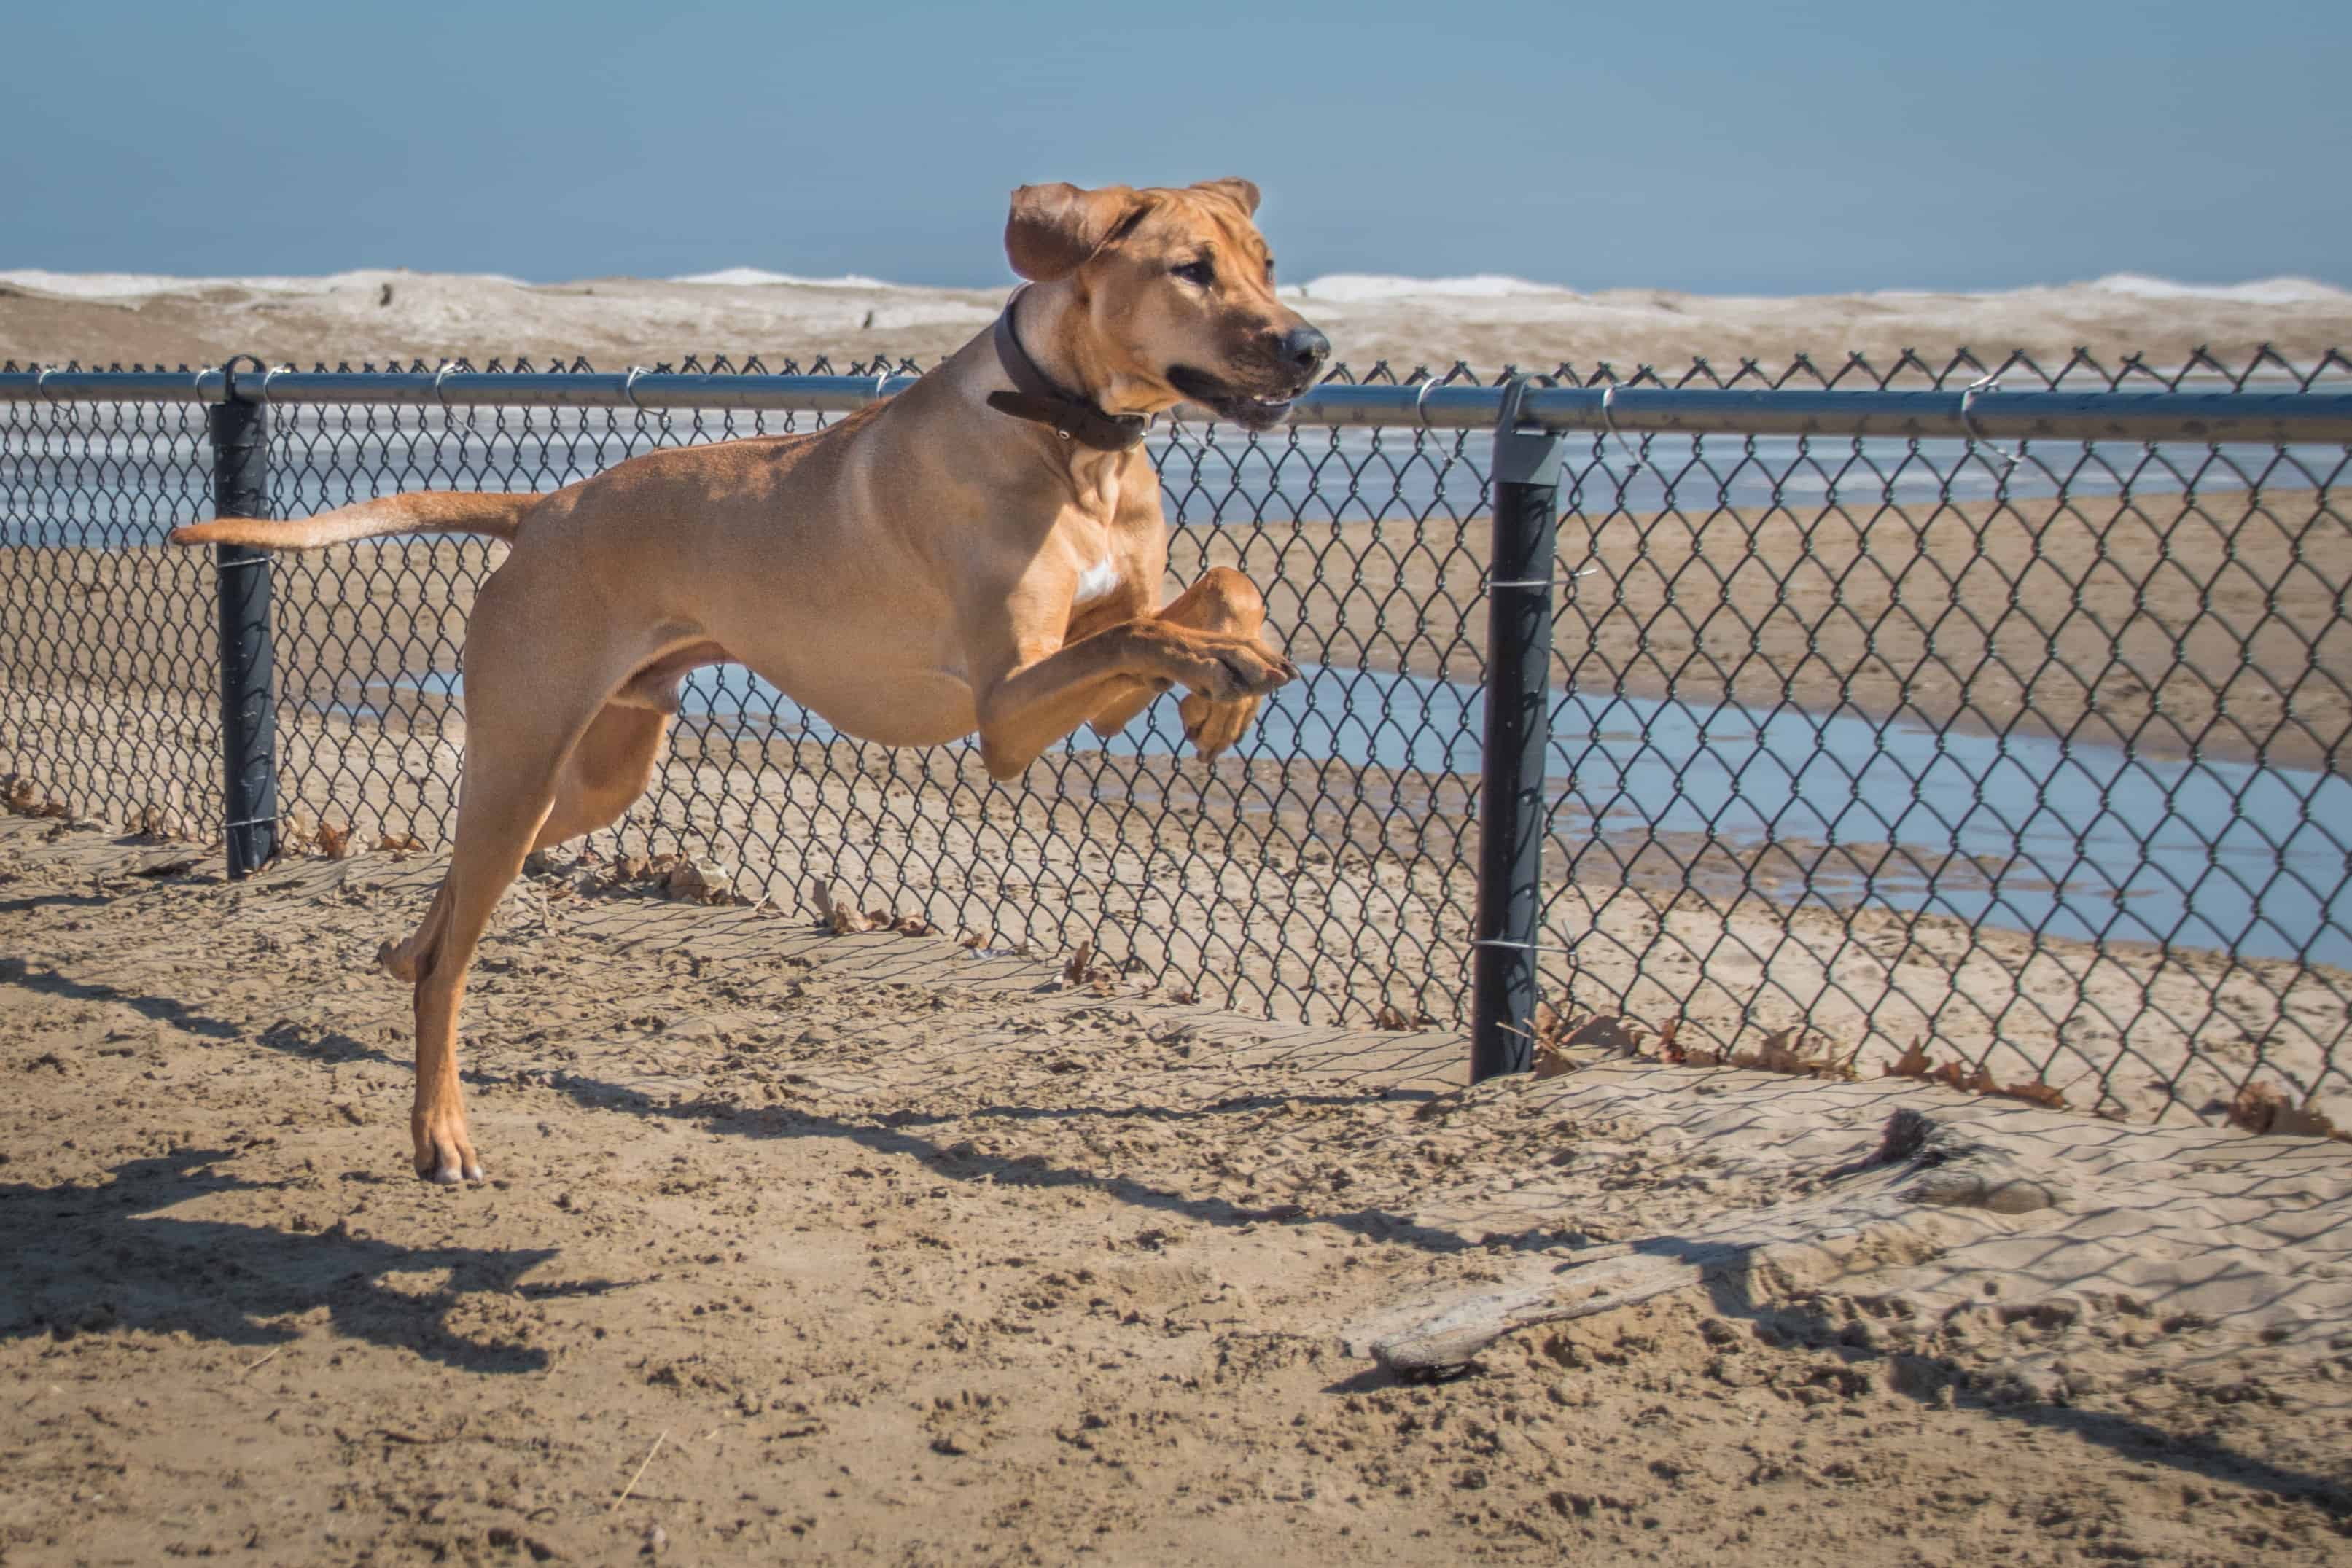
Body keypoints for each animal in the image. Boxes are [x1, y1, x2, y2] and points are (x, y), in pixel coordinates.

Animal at [174, 177, 1326, 1185]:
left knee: (453, 892)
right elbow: (1140, 634)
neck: (1070, 438)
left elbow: (1203, 592)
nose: (1311, 347)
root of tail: (541, 511)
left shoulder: (1096, 678)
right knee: (454, 964)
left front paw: (1225, 691)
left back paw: (406, 952)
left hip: (593, 775)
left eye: (1267, 263)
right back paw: (440, 1129)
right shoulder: (1006, 712)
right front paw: (1219, 673)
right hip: (524, 755)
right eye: (1190, 269)